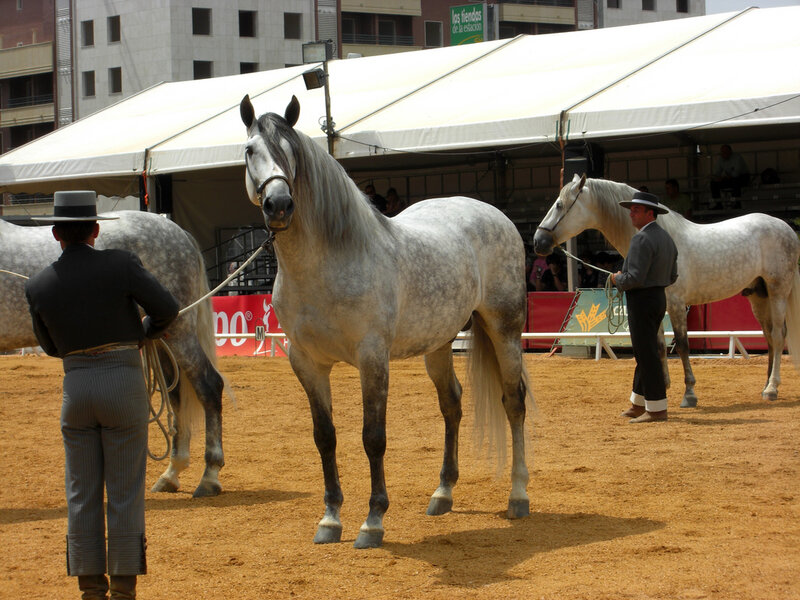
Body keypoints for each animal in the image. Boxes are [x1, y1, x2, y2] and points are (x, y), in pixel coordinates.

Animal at [240, 94, 534, 548]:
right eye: (251, 150)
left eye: (292, 152)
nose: (279, 205)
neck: (327, 265)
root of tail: (492, 213)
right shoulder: (306, 363)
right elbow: (325, 437)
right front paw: (330, 519)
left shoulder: (372, 358)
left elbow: (372, 438)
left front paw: (372, 521)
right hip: (439, 343)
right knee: (451, 403)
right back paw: (443, 493)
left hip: (505, 328)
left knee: (513, 401)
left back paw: (518, 496)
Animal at [533, 174, 800, 406]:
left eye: (559, 205)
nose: (538, 241)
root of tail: (786, 228)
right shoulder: (658, 305)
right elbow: (660, 345)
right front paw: (662, 387)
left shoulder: (677, 305)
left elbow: (682, 345)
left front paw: (689, 394)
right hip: (758, 296)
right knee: (769, 337)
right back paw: (766, 386)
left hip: (777, 292)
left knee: (778, 335)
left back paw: (772, 388)